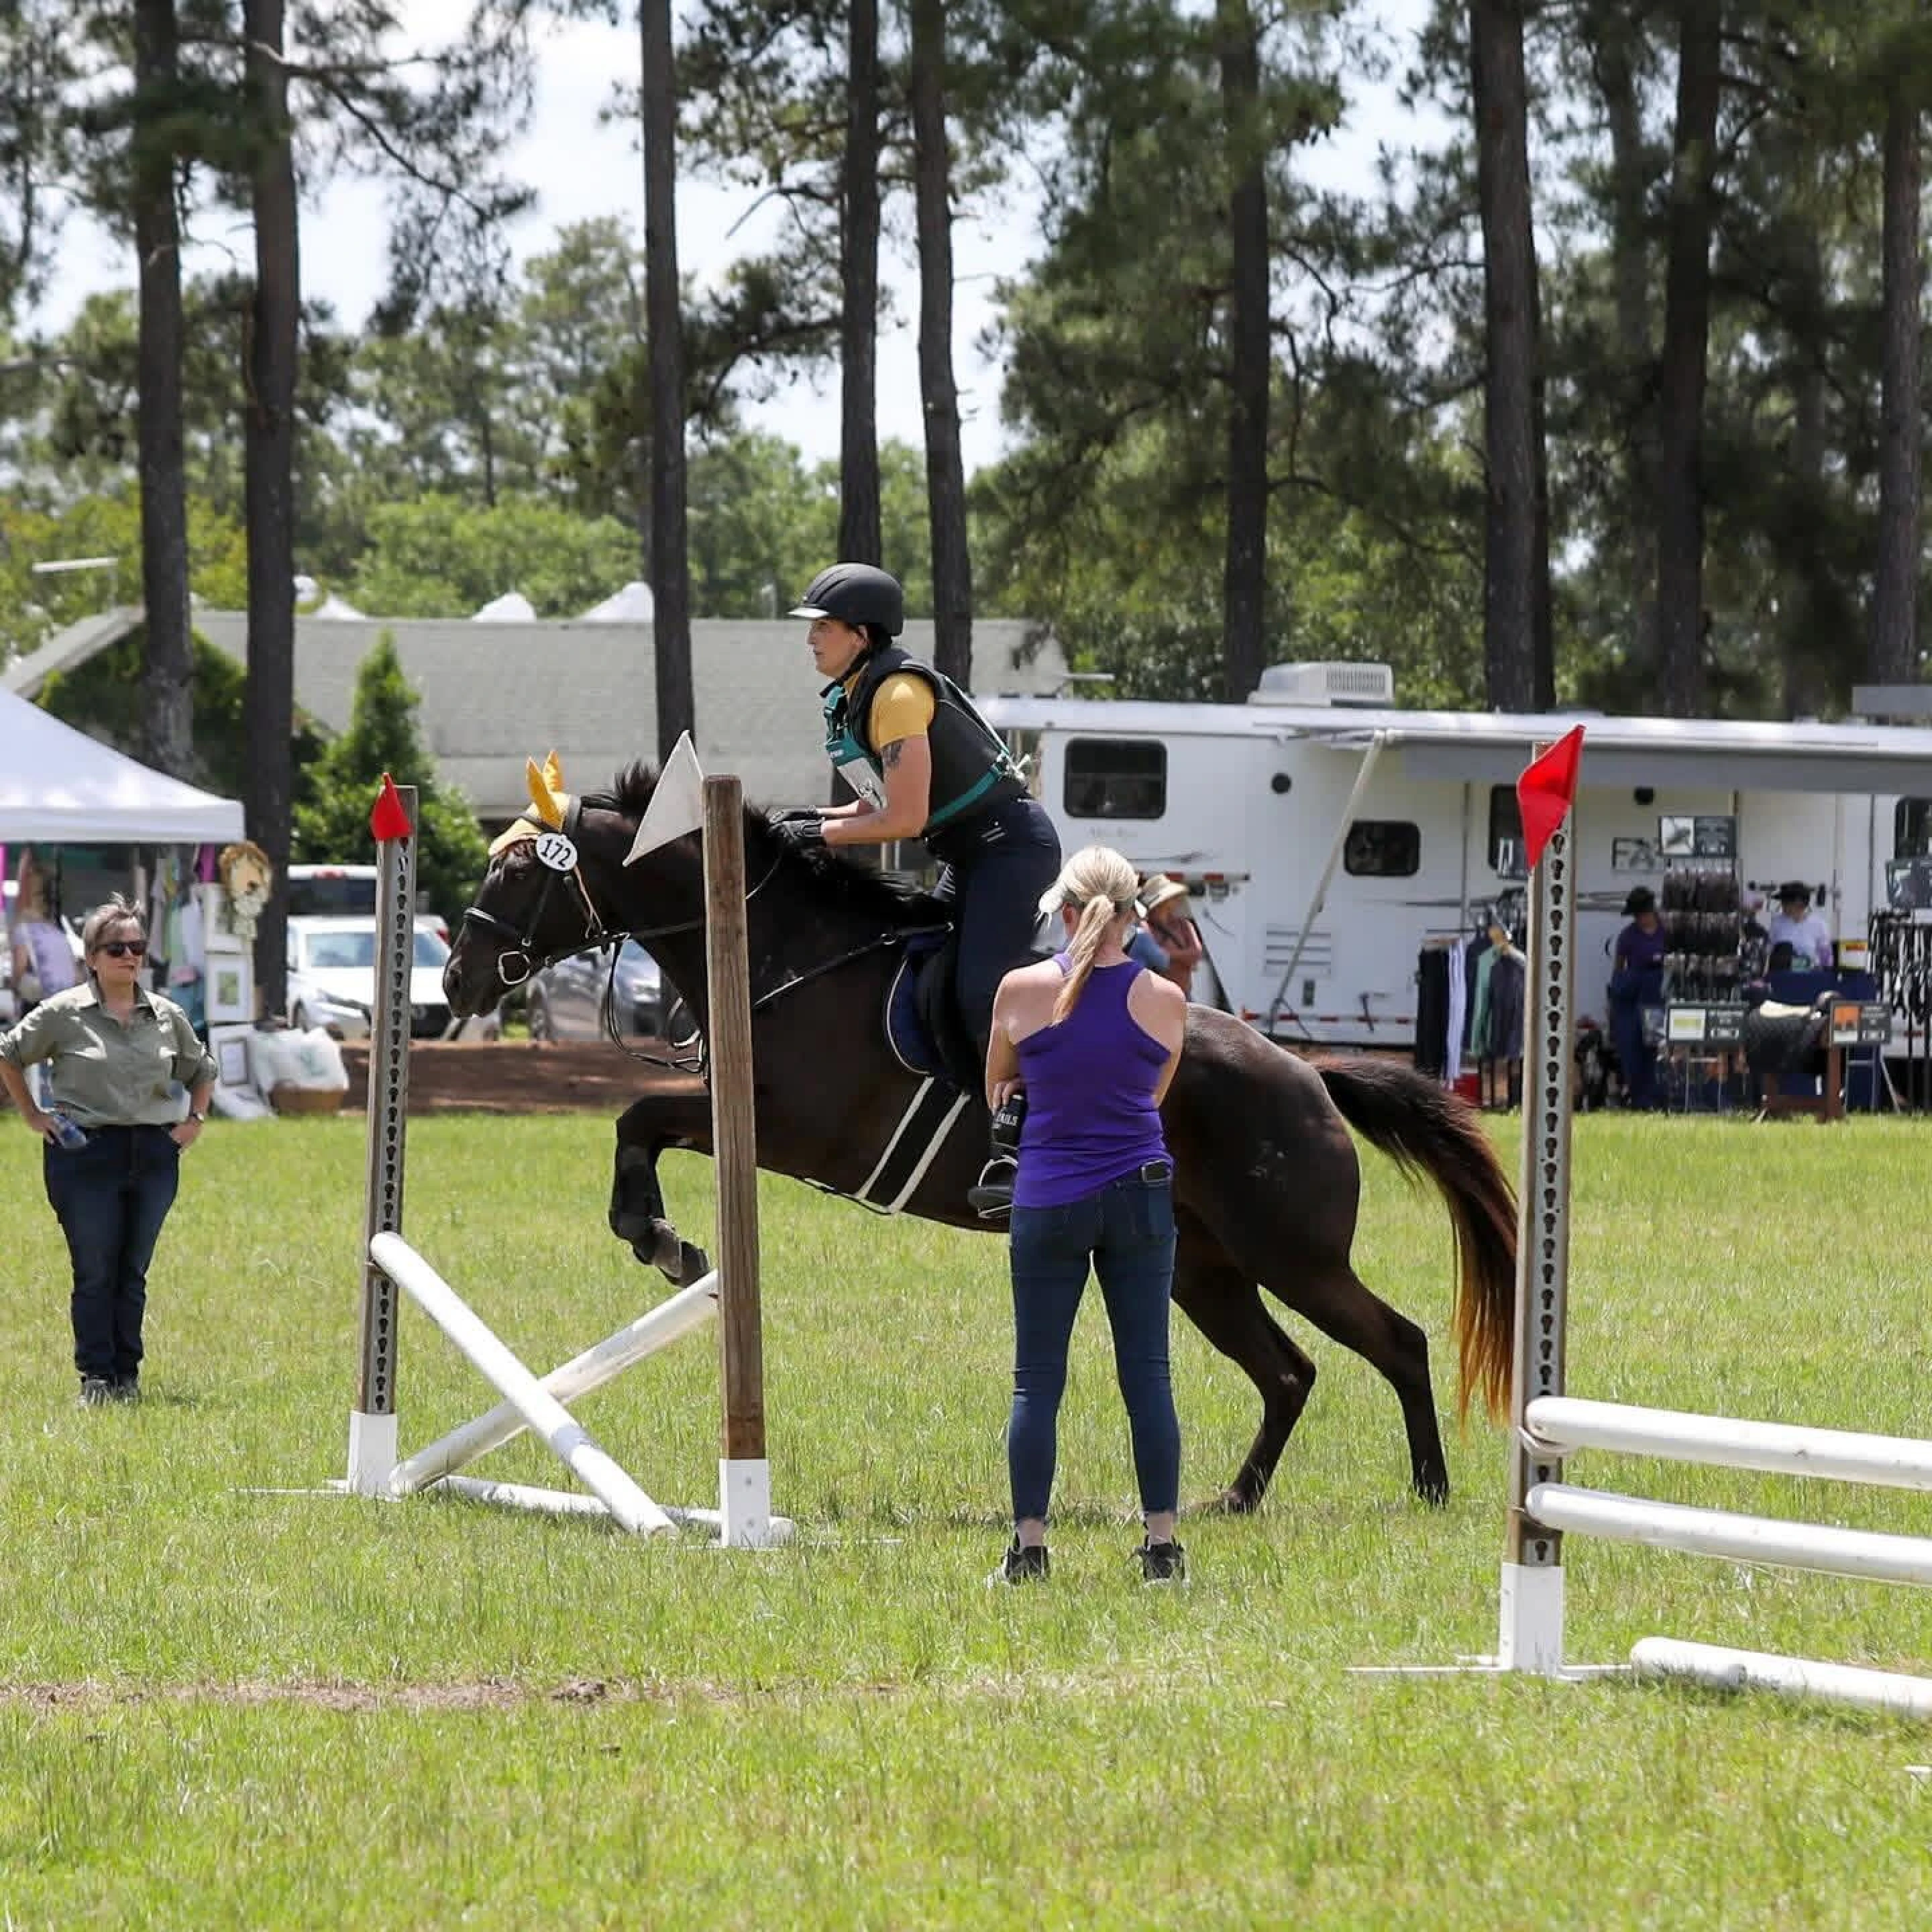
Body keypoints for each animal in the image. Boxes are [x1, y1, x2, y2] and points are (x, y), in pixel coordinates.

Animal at [443, 761, 1519, 1511]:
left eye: (518, 872)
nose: (457, 979)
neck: (784, 954)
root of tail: (1307, 1074)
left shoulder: (788, 1128)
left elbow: (642, 1117)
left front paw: (660, 1237)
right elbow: (639, 1122)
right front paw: (659, 1236)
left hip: (1287, 1251)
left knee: (1399, 1342)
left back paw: (1429, 1489)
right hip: (1205, 1270)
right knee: (1291, 1372)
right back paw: (1237, 1500)